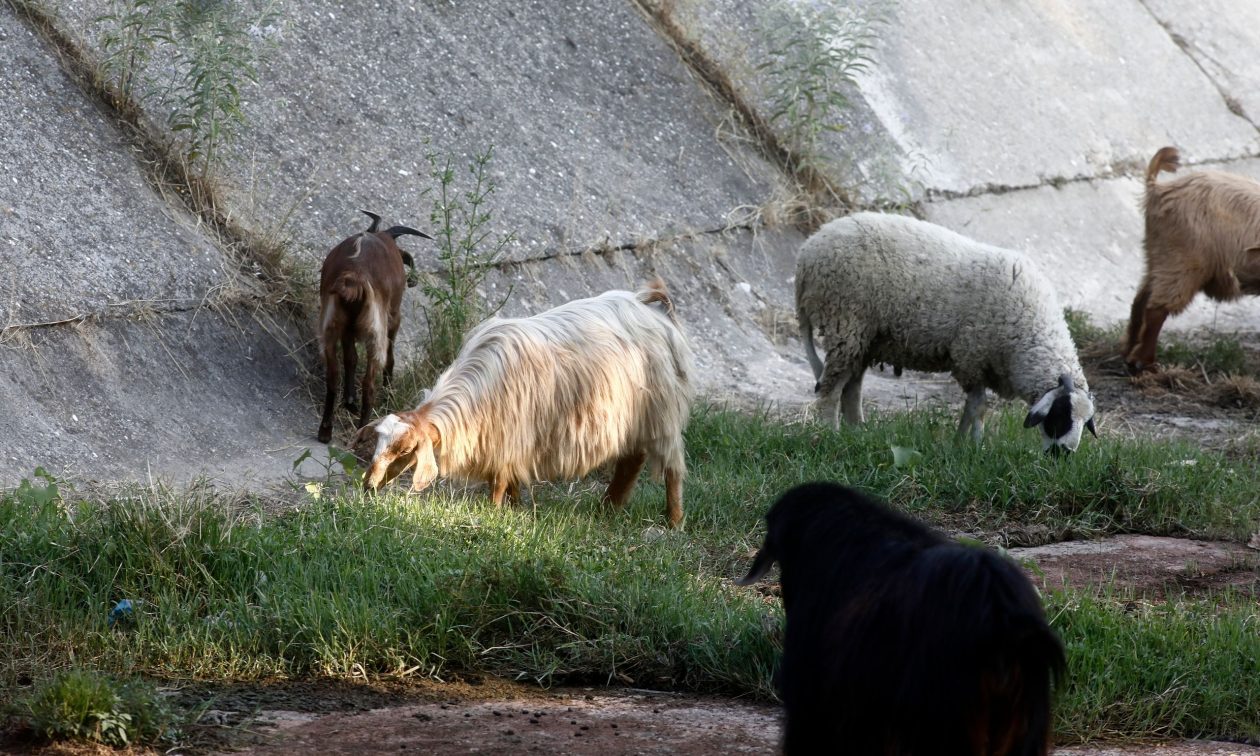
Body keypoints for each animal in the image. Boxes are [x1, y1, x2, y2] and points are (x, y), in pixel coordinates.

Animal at [317, 211, 430, 443]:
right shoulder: (393, 317)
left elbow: (351, 358)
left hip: (331, 327)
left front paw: (350, 400)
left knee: (333, 375)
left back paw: (325, 430)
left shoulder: (347, 330)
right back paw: (363, 432)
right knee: (369, 381)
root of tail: (353, 278)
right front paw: (388, 391)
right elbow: (390, 358)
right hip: (376, 330)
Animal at [355, 277, 695, 526]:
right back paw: (609, 508)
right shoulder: (505, 440)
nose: (368, 485)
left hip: (662, 411)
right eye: (377, 443)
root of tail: (646, 305)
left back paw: (675, 521)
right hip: (636, 416)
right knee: (633, 458)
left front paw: (494, 513)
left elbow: (499, 480)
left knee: (671, 468)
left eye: (405, 450)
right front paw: (515, 508)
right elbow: (511, 479)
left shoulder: (511, 434)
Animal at [796, 209, 1093, 451]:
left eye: (1085, 422)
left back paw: (858, 432)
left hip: (864, 337)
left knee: (852, 387)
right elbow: (979, 406)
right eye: (1060, 415)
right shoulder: (971, 356)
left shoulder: (979, 363)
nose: (1062, 455)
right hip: (845, 321)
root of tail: (809, 249)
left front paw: (960, 443)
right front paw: (974, 446)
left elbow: (971, 407)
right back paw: (832, 433)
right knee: (832, 388)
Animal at [1128, 146, 1260, 372]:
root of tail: (1158, 189)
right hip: (1184, 258)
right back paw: (1143, 361)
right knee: (1157, 308)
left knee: (1141, 299)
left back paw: (1128, 351)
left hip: (1158, 254)